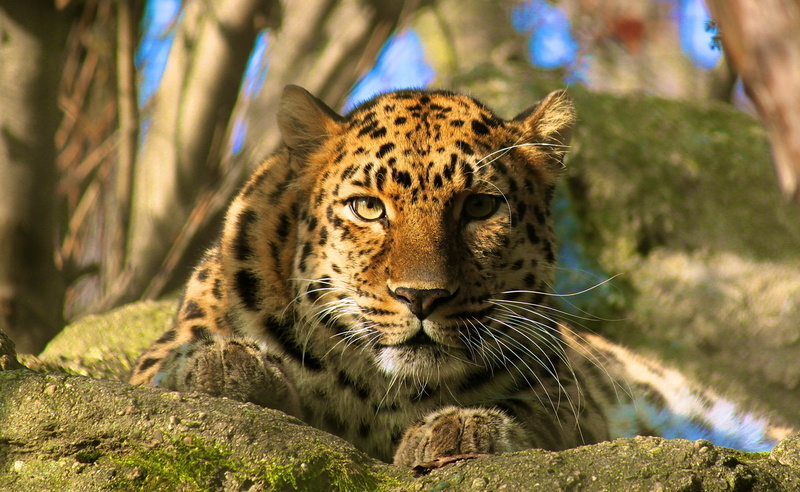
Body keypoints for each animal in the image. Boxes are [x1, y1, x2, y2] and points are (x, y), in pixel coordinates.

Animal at [131, 85, 792, 467]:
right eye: (368, 207)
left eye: (479, 207)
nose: (421, 297)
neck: (379, 395)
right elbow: (178, 365)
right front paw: (225, 364)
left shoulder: (573, 401)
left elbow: (531, 413)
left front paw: (459, 428)